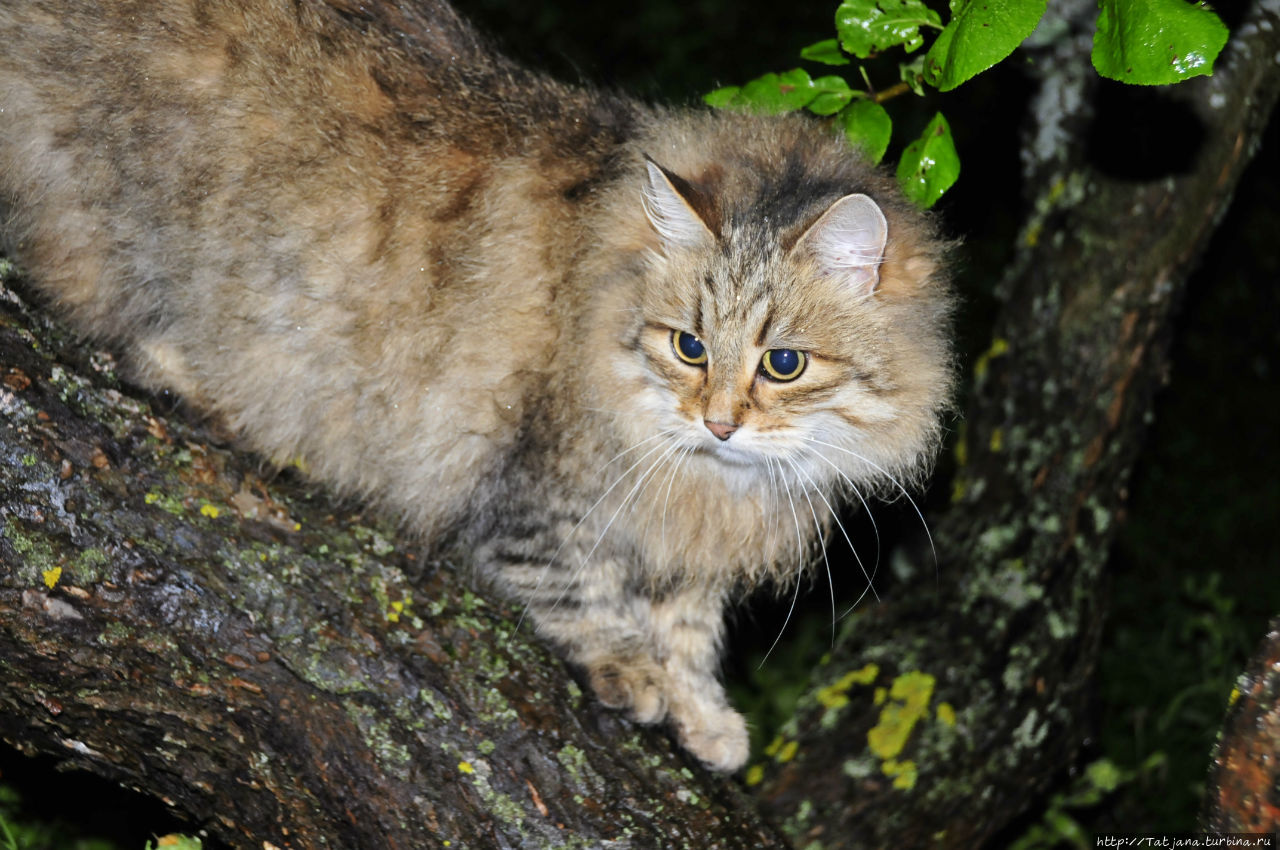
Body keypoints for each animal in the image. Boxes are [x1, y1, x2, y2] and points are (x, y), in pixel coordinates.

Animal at [0, 0, 952, 768]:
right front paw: (634, 671)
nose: (718, 423)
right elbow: (582, 595)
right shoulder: (539, 496)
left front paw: (705, 716)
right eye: (689, 347)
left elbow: (689, 632)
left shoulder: (687, 548)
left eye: (782, 364)